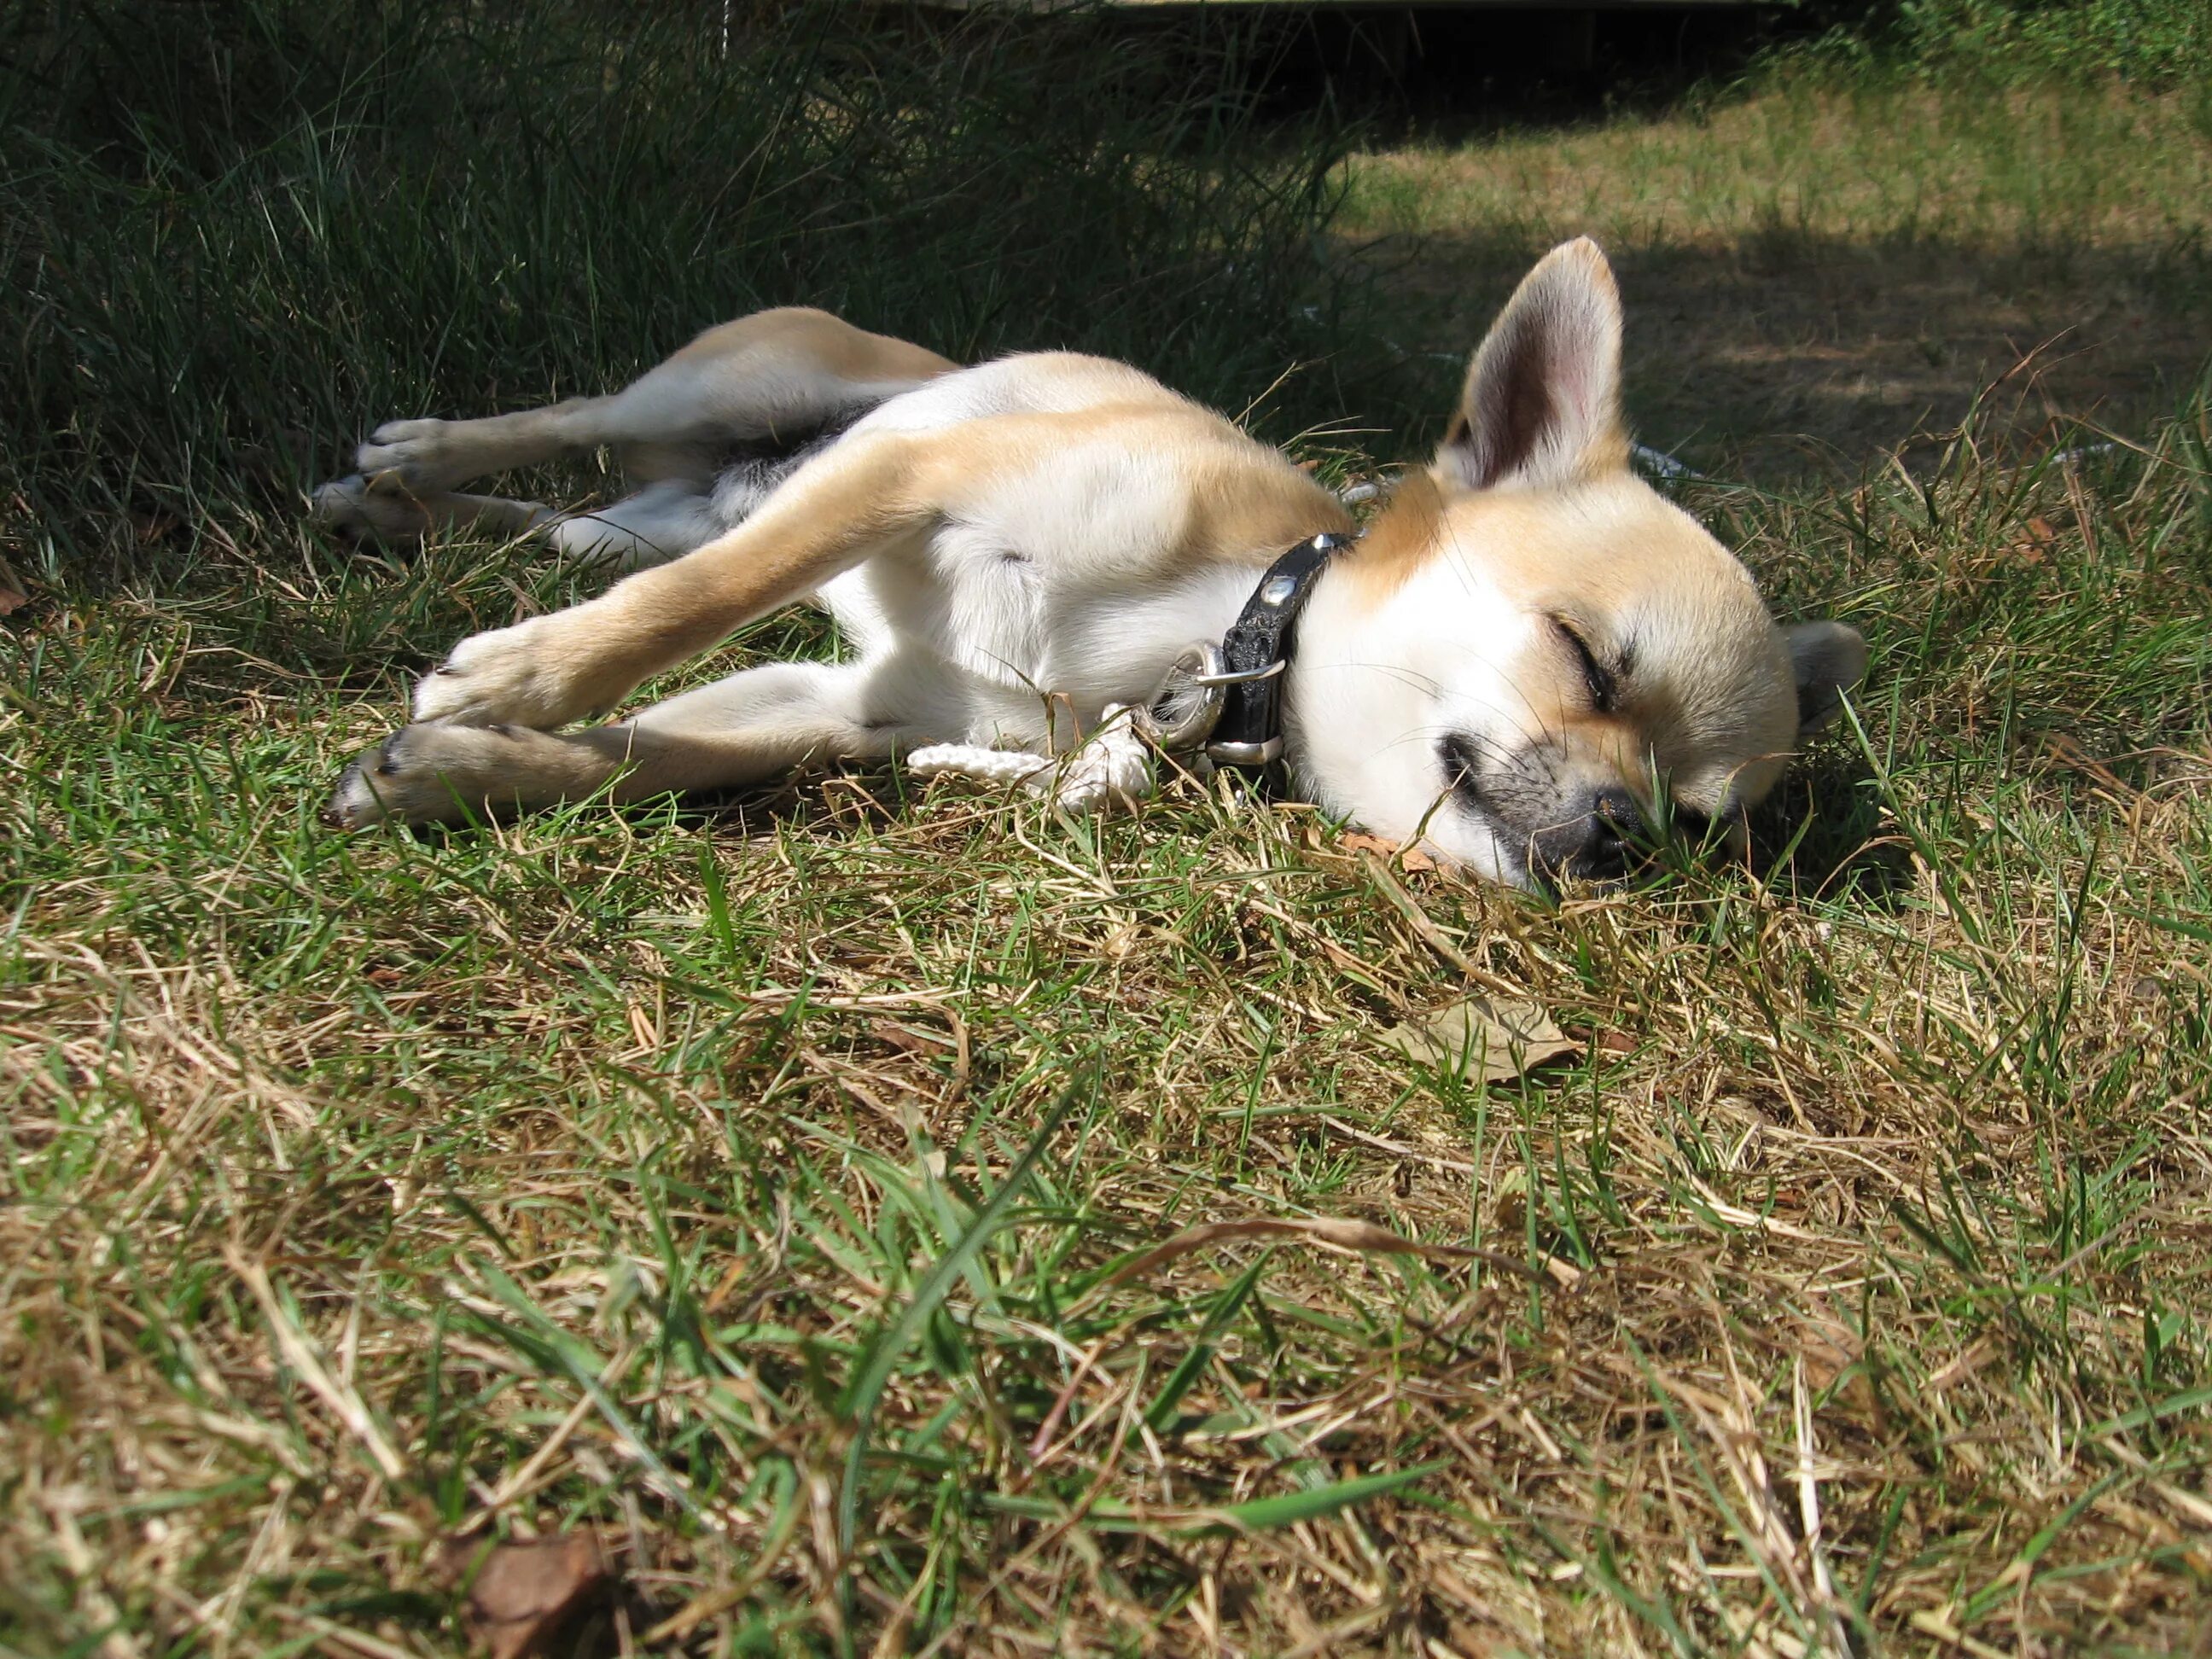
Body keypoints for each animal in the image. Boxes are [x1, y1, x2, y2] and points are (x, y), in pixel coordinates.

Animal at [316, 240, 1866, 888]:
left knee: (585, 528)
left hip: (683, 494)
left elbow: (653, 755)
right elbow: (680, 617)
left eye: (1700, 827)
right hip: (731, 391)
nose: (1620, 837)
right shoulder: (904, 482)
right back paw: (406, 454)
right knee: (576, 432)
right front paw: (517, 680)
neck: (1204, 636)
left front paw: (461, 767)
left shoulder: (851, 708)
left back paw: (399, 511)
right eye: (1587, 659)